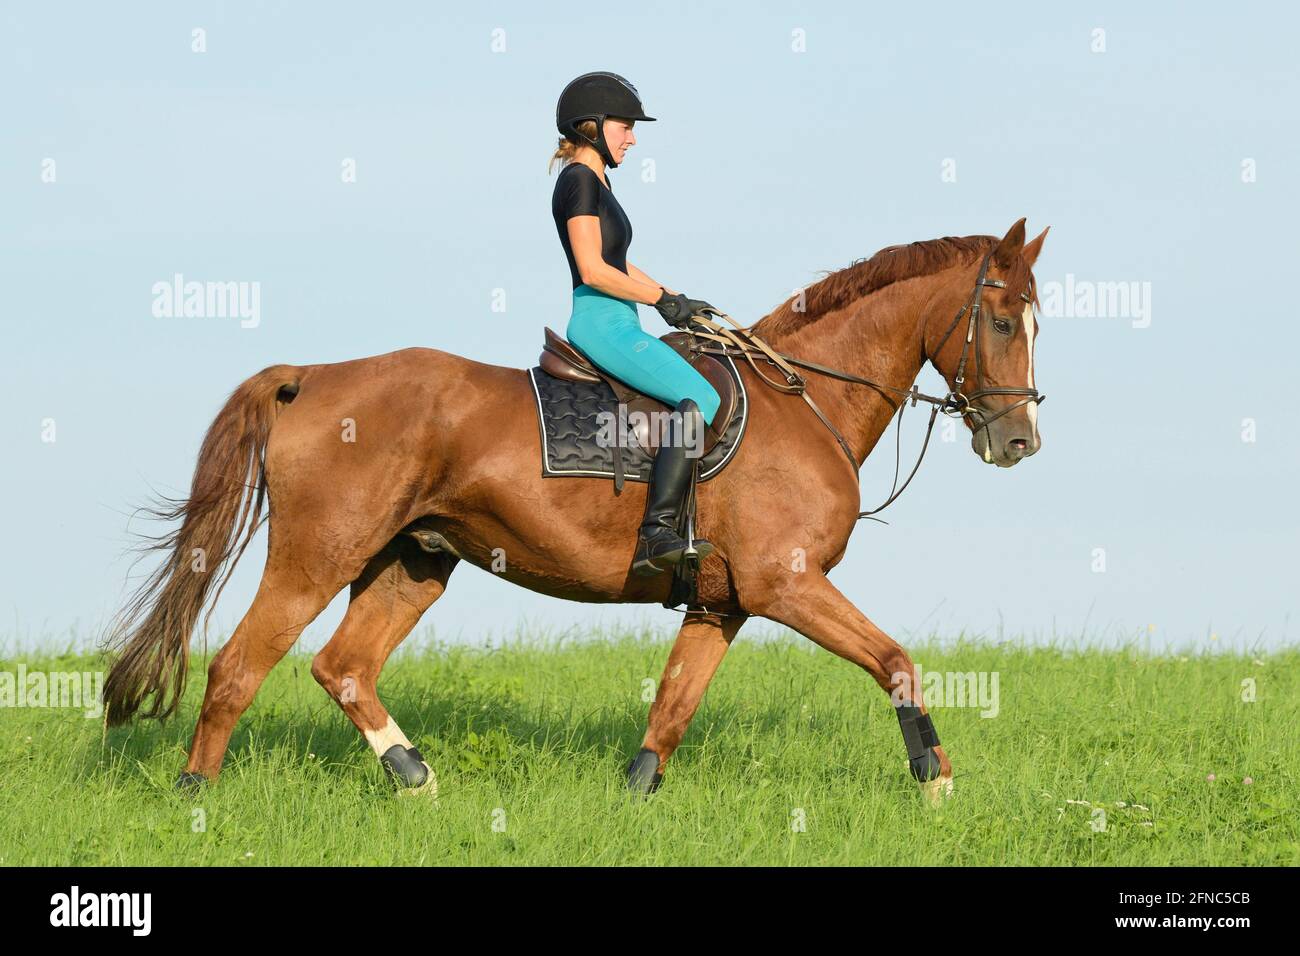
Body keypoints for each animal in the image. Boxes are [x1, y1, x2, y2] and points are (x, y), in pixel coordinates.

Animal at [102, 218, 1048, 805]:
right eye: (1003, 321)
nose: (1020, 442)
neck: (804, 398)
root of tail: (311, 378)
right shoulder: (787, 585)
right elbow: (897, 661)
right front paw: (936, 779)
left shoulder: (723, 602)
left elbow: (671, 711)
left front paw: (632, 799)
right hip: (316, 556)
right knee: (238, 669)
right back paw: (194, 798)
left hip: (414, 561)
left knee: (343, 667)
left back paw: (417, 779)